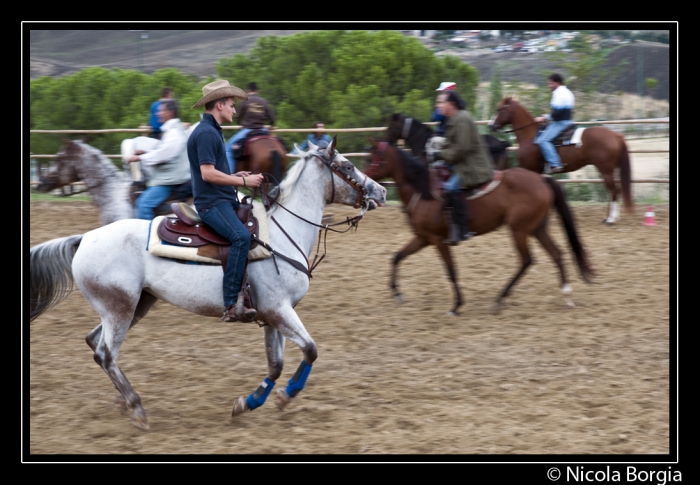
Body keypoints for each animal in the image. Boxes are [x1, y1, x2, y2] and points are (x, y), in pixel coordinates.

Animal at [28, 138, 388, 430]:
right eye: (347, 165)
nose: (381, 192)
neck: (281, 234)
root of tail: (85, 238)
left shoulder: (273, 315)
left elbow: (275, 365)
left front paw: (248, 403)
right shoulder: (279, 310)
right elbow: (310, 350)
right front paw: (285, 396)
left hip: (134, 305)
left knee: (95, 344)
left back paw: (122, 401)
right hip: (120, 309)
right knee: (105, 353)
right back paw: (137, 408)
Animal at [364, 138, 592, 316]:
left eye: (369, 158)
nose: (364, 186)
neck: (423, 192)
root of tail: (542, 180)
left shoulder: (438, 240)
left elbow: (451, 271)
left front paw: (456, 306)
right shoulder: (423, 238)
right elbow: (397, 257)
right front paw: (397, 292)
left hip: (519, 229)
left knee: (527, 260)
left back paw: (500, 298)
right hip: (537, 228)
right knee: (557, 254)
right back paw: (566, 294)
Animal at [486, 97, 636, 225]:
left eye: (499, 109)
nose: (491, 125)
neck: (531, 136)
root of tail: (616, 135)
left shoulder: (530, 169)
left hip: (605, 171)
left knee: (614, 190)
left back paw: (611, 219)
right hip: (611, 170)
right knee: (616, 190)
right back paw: (609, 217)